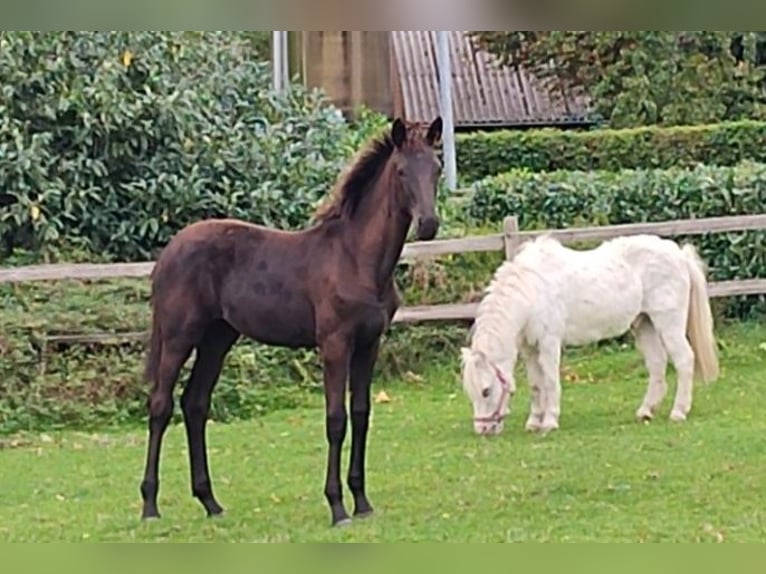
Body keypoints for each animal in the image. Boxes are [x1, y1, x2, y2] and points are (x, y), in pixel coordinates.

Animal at [138, 116, 444, 527]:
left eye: (437, 168)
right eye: (400, 171)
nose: (428, 224)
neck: (357, 258)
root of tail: (169, 251)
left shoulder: (369, 344)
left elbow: (361, 414)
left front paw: (362, 502)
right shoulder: (334, 344)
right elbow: (336, 419)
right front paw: (337, 507)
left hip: (218, 338)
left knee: (195, 404)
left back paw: (211, 502)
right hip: (178, 336)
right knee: (161, 405)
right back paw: (150, 506)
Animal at [460, 233, 720, 436]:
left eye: (486, 390)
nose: (483, 429)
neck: (531, 290)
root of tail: (680, 255)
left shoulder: (549, 343)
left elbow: (550, 381)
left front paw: (550, 422)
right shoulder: (529, 348)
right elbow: (536, 384)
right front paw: (534, 422)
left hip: (668, 324)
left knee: (685, 360)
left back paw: (678, 412)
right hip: (645, 324)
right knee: (657, 365)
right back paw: (645, 412)